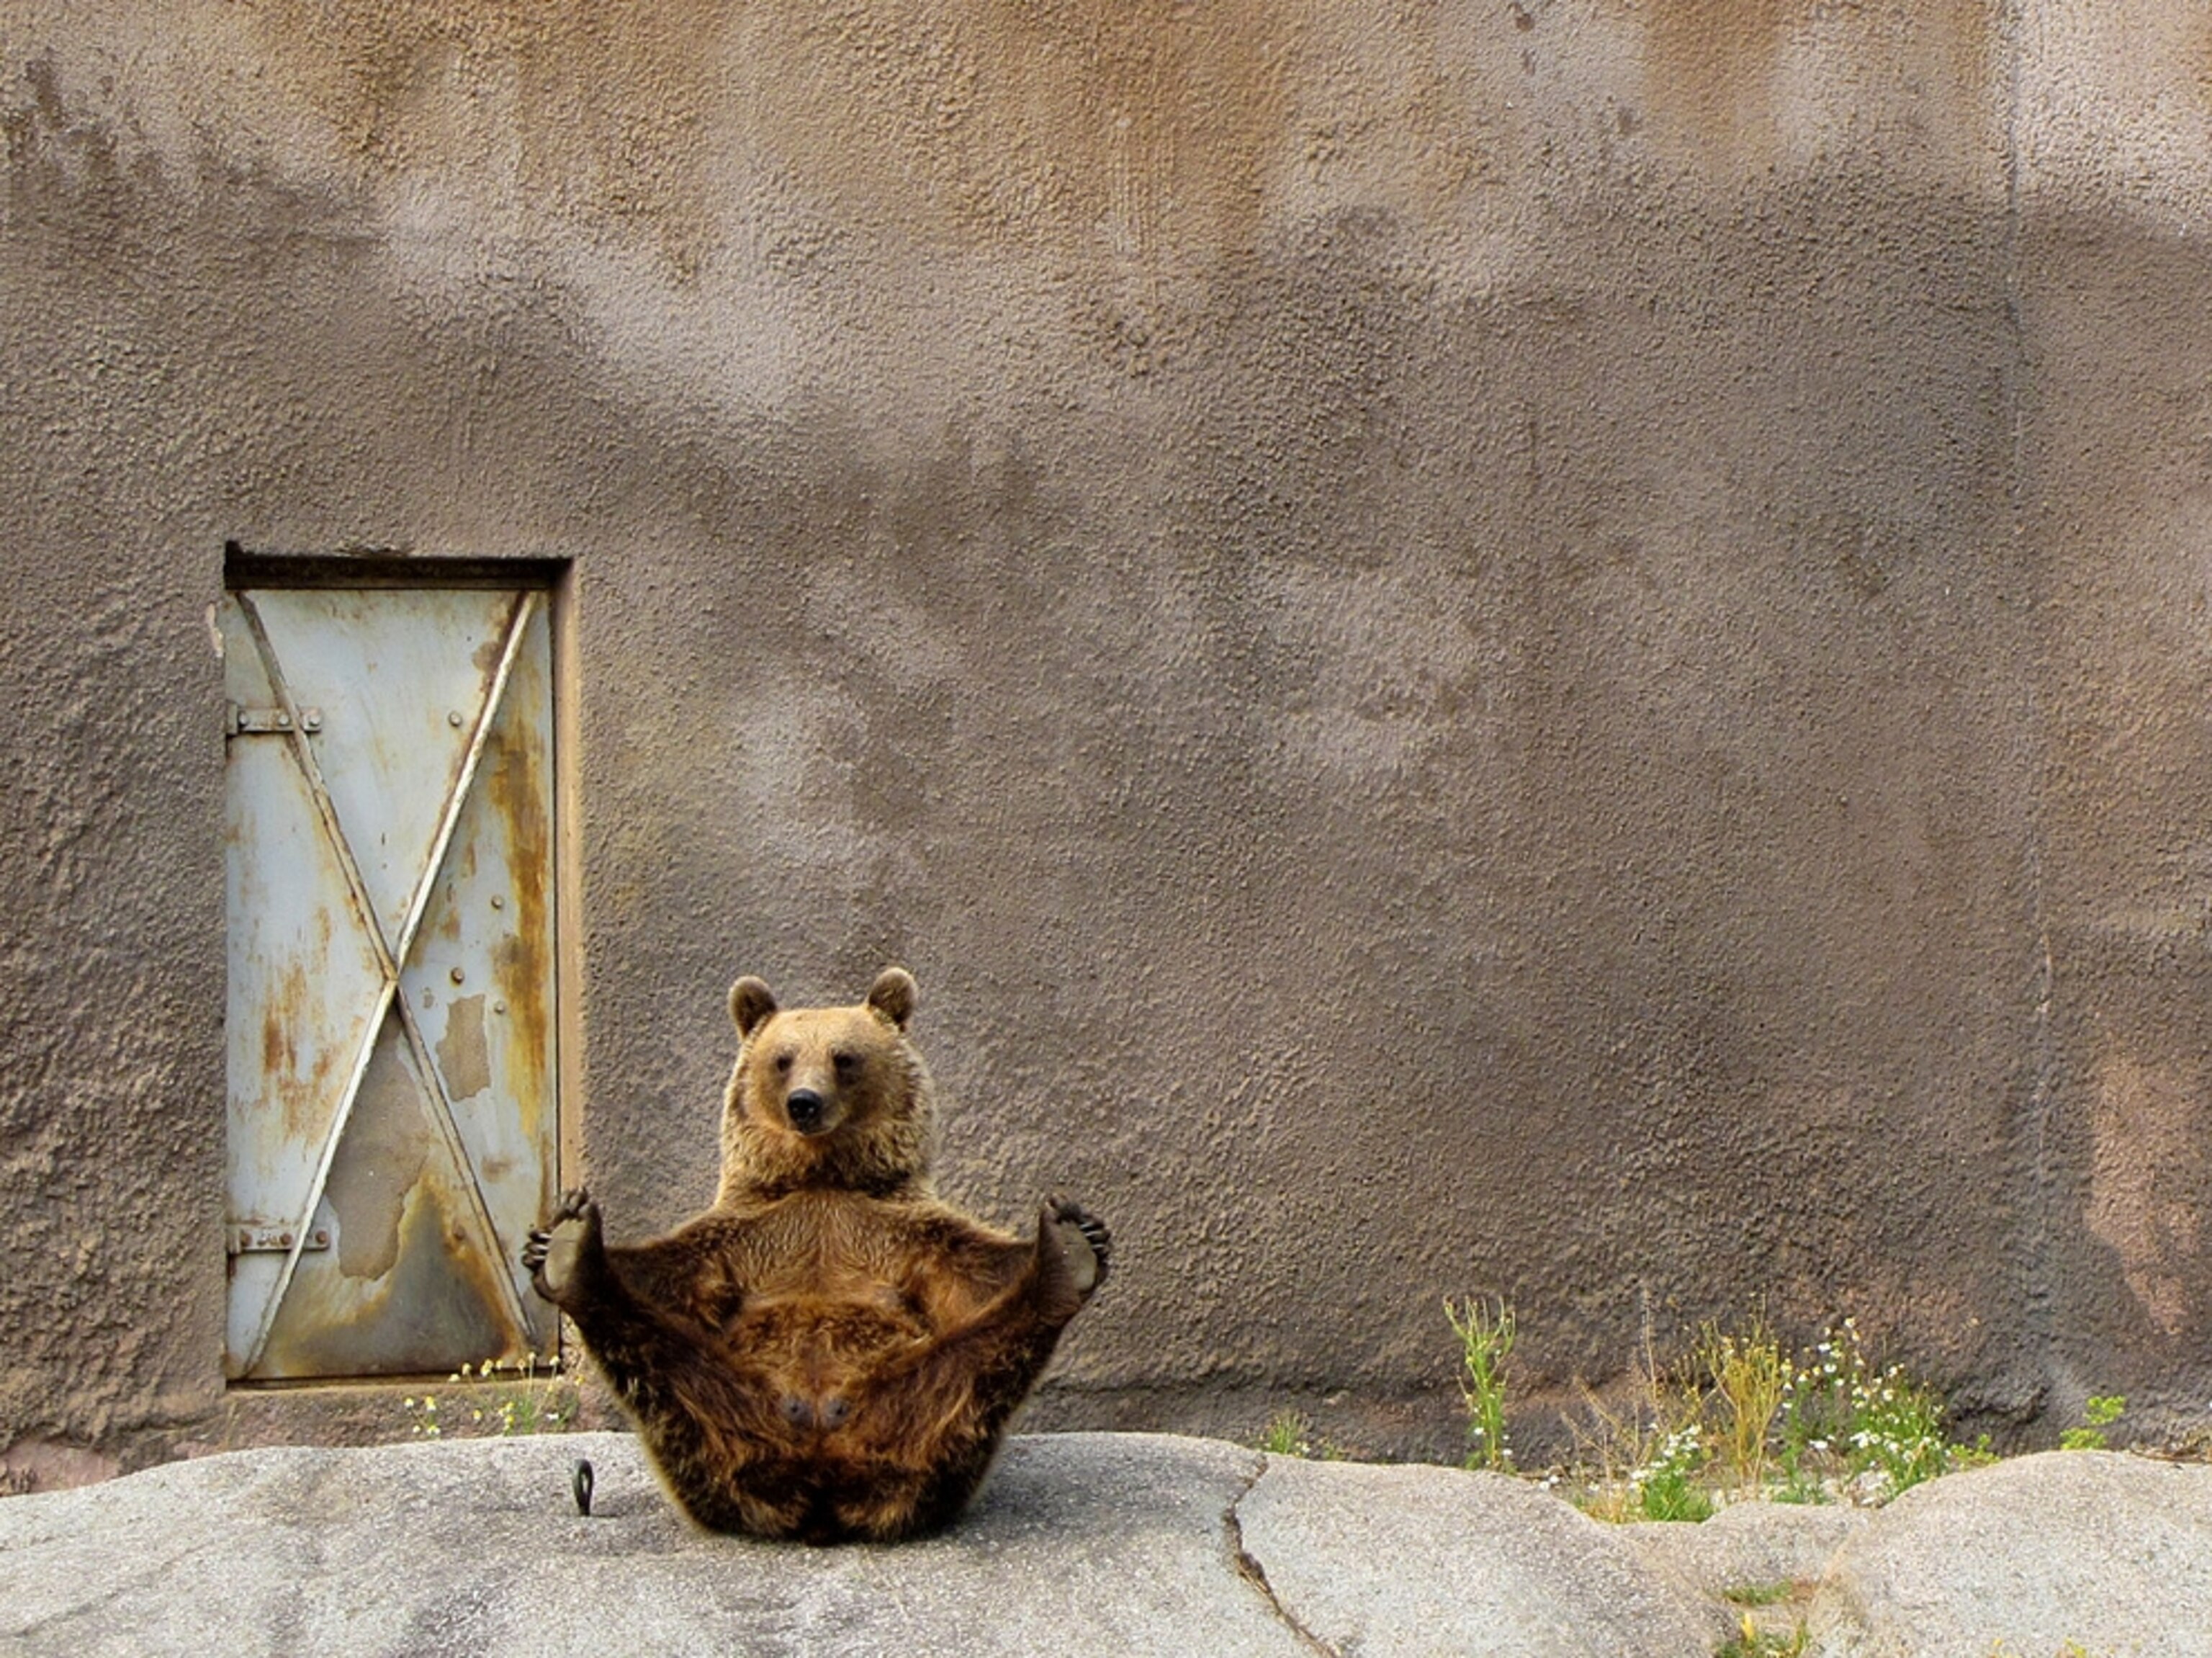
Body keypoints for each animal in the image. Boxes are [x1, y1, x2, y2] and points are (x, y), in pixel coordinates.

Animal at [522, 966, 1111, 1543]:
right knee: (663, 1362)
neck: (821, 1175)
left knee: (973, 1369)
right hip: (718, 1420)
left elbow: (975, 1272)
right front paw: (547, 1241)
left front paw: (1083, 1230)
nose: (805, 1102)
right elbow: (668, 1274)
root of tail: (821, 1486)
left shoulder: (899, 1231)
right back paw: (575, 1257)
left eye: (843, 1057)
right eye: (783, 1059)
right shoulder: (747, 1234)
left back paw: (1065, 1261)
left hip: (912, 1409)